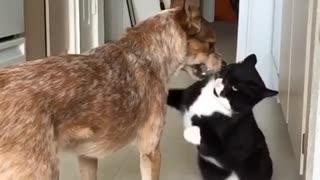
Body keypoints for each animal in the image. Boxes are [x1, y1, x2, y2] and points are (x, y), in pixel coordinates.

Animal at [0, 0, 224, 180]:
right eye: (211, 46)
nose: (225, 63)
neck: (147, 54)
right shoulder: (151, 150)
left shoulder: (87, 156)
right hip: (41, 171)